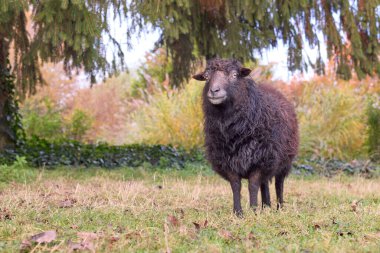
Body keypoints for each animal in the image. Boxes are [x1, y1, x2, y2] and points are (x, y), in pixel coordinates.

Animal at [194, 57, 298, 215]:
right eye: (206, 77)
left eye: (234, 75)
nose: (214, 91)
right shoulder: (227, 161)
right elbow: (236, 186)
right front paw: (238, 213)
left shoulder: (259, 160)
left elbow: (253, 185)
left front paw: (254, 211)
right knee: (264, 184)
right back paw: (266, 206)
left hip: (283, 161)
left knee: (279, 184)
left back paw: (279, 207)